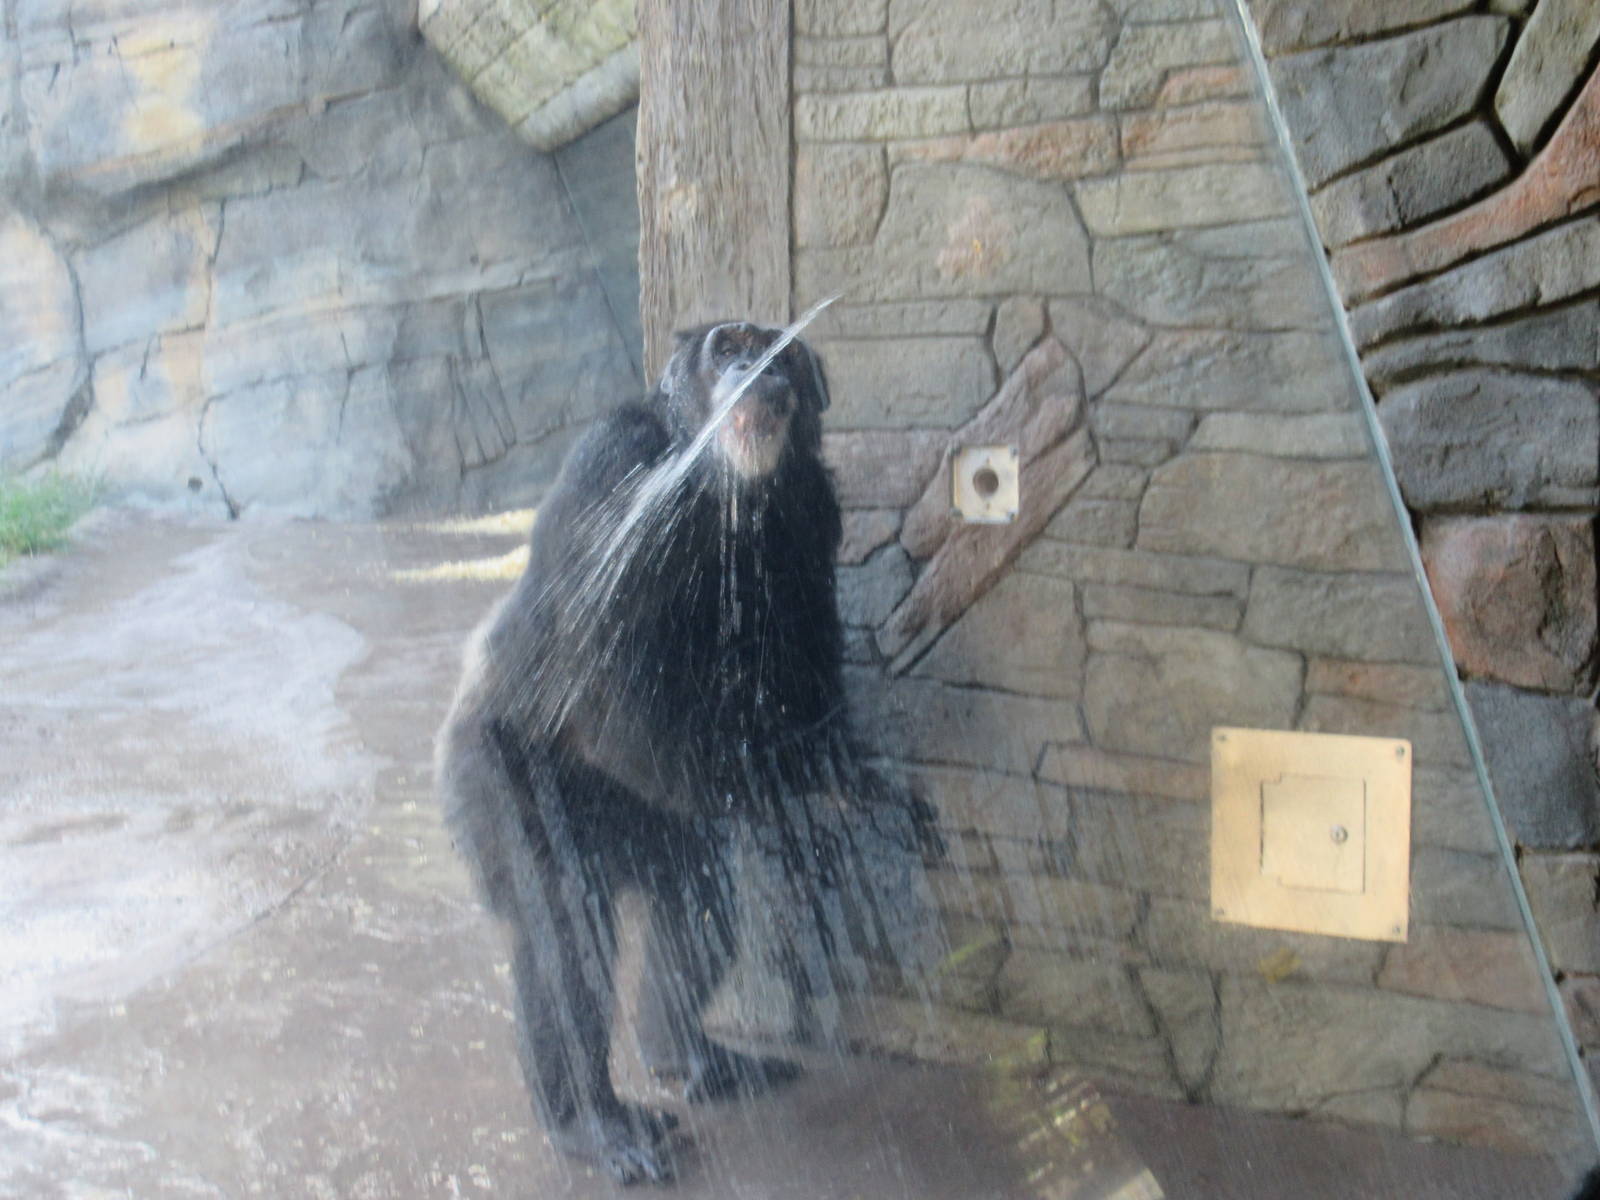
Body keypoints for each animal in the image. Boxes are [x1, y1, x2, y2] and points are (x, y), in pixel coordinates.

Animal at [435, 320, 938, 1184]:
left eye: (782, 349)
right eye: (728, 345)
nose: (757, 366)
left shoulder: (816, 509)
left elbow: (799, 663)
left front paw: (849, 778)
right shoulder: (610, 466)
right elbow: (615, 694)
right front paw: (813, 792)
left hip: (651, 827)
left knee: (697, 897)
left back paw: (688, 1057)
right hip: (490, 774)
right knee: (565, 933)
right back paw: (592, 1125)